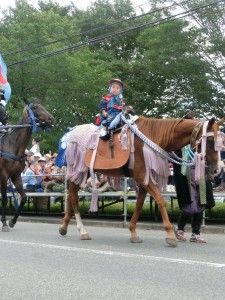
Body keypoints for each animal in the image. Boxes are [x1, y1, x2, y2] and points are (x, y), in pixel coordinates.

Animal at [0, 99, 53, 231]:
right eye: (34, 107)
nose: (51, 118)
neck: (13, 146)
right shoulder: (3, 175)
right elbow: (4, 199)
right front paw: (4, 223)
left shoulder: (15, 176)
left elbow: (23, 197)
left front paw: (12, 221)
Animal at [59, 116, 222, 246]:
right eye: (211, 139)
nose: (217, 169)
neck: (153, 138)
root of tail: (72, 133)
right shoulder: (144, 179)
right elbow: (160, 201)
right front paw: (170, 234)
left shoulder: (144, 180)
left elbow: (139, 205)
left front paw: (133, 232)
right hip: (79, 169)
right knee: (73, 197)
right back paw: (82, 230)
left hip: (82, 171)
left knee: (71, 196)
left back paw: (64, 227)